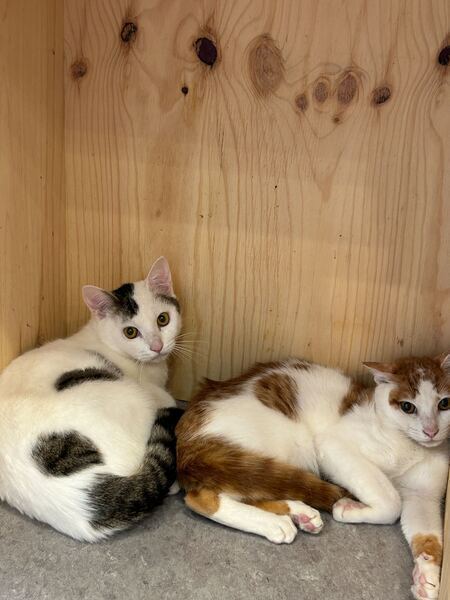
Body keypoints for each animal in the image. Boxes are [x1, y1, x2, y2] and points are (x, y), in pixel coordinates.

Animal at [177, 355, 450, 600]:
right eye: (407, 407)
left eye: (444, 404)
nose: (431, 430)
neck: (411, 447)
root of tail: (189, 432)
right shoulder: (334, 445)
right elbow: (391, 501)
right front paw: (349, 508)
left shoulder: (423, 498)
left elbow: (429, 534)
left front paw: (427, 576)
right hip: (278, 448)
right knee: (206, 496)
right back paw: (273, 522)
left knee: (259, 489)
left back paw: (298, 514)